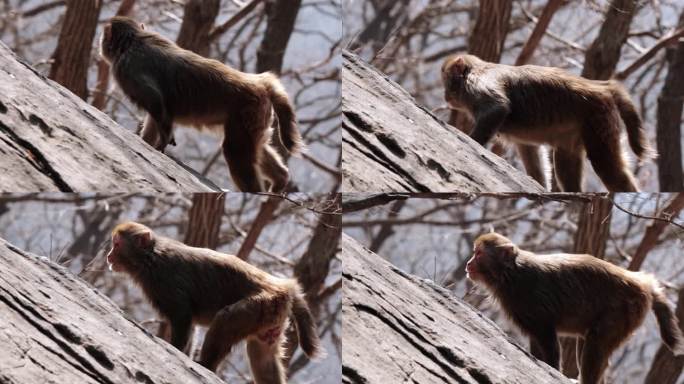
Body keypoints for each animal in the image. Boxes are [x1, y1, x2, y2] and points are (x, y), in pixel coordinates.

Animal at [98, 17, 302, 192]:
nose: (100, 44)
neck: (133, 40)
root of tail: (259, 83)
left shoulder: (127, 69)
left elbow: (156, 102)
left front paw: (163, 142)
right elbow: (156, 114)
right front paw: (148, 143)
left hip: (248, 111)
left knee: (234, 150)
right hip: (256, 117)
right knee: (254, 146)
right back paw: (281, 179)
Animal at [107, 220, 320, 382]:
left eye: (116, 245)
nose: (109, 256)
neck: (149, 257)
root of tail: (284, 286)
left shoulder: (164, 279)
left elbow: (182, 316)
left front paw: (175, 349)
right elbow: (189, 322)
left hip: (264, 304)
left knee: (226, 320)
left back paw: (206, 365)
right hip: (271, 316)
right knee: (263, 357)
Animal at [440, 54, 656, 192]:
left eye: (447, 83)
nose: (445, 96)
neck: (476, 70)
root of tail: (602, 87)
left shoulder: (477, 83)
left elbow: (497, 108)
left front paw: (472, 142)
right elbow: (529, 149)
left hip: (599, 118)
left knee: (606, 166)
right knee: (565, 161)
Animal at [464, 231, 684, 384]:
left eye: (479, 254)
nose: (468, 263)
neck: (509, 274)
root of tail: (640, 282)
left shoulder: (530, 299)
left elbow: (547, 341)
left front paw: (552, 369)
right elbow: (537, 341)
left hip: (625, 311)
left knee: (595, 344)